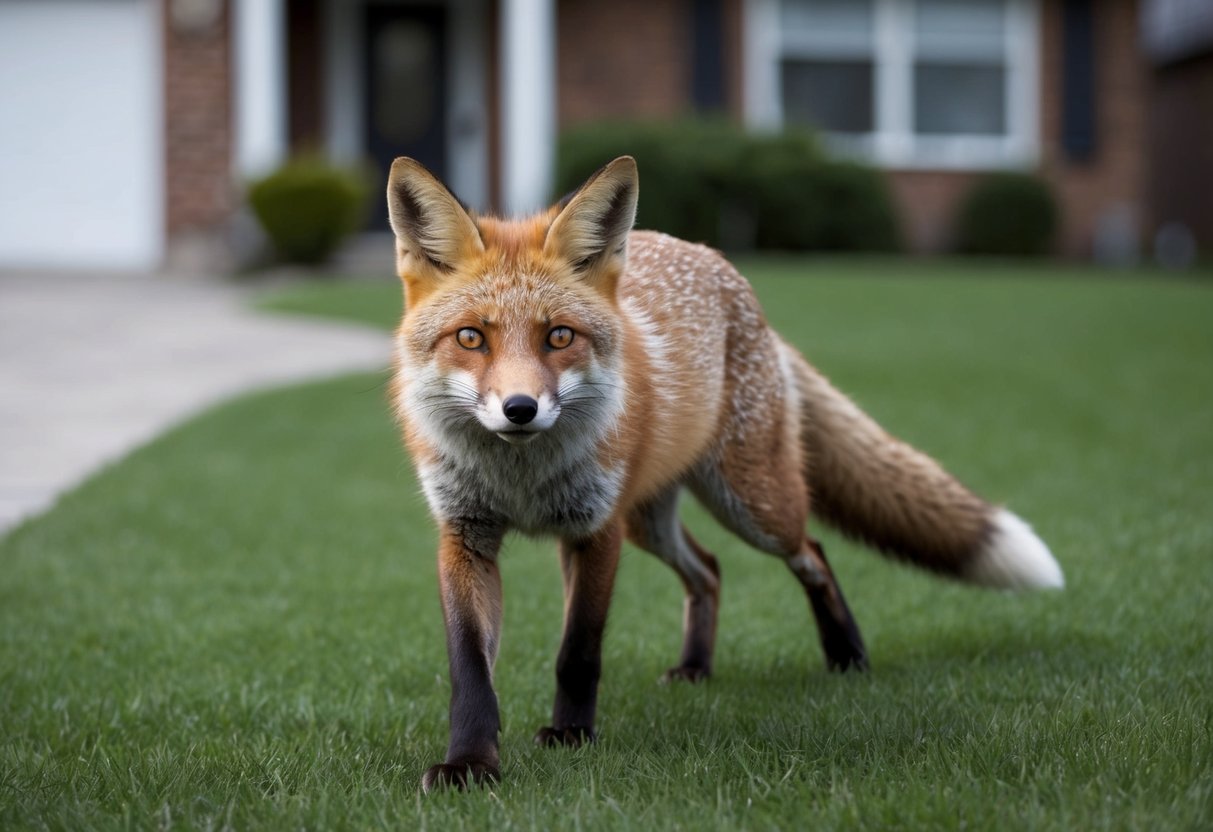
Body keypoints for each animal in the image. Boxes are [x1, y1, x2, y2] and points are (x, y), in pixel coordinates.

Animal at [386, 155, 1064, 792]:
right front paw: (470, 764)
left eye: (558, 337)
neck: (520, 478)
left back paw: (847, 655)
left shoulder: (595, 532)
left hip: (751, 504)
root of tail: (720, 264)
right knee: (708, 570)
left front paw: (572, 735)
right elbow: (471, 670)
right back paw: (696, 668)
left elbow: (578, 651)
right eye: (470, 338)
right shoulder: (468, 536)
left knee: (812, 551)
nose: (520, 409)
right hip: (649, 522)